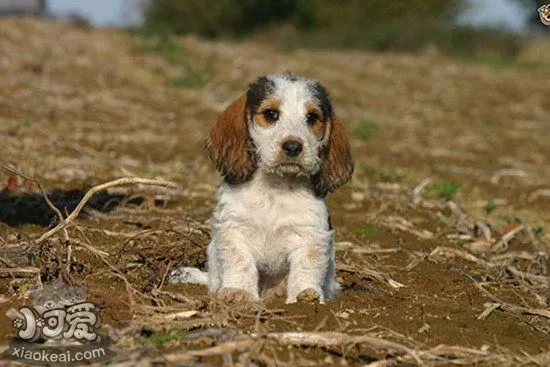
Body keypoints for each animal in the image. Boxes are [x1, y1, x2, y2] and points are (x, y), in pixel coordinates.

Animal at [170, 72, 356, 304]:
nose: (293, 146)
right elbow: (240, 262)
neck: (275, 187)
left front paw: (304, 297)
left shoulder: (309, 235)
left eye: (312, 117)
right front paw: (239, 293)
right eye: (271, 114)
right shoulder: (234, 230)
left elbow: (305, 269)